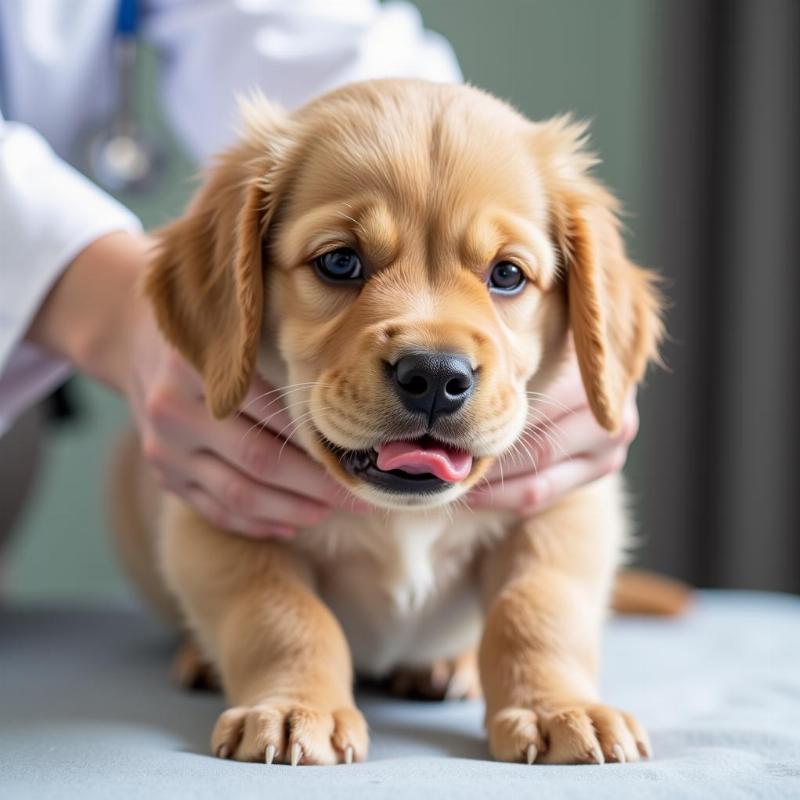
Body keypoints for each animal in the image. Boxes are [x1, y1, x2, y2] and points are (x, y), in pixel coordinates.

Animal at [111, 78, 664, 764]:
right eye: (340, 262)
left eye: (507, 274)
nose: (434, 376)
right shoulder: (220, 519)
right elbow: (282, 615)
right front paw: (295, 709)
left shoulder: (566, 510)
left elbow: (536, 609)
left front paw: (559, 708)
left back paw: (446, 664)